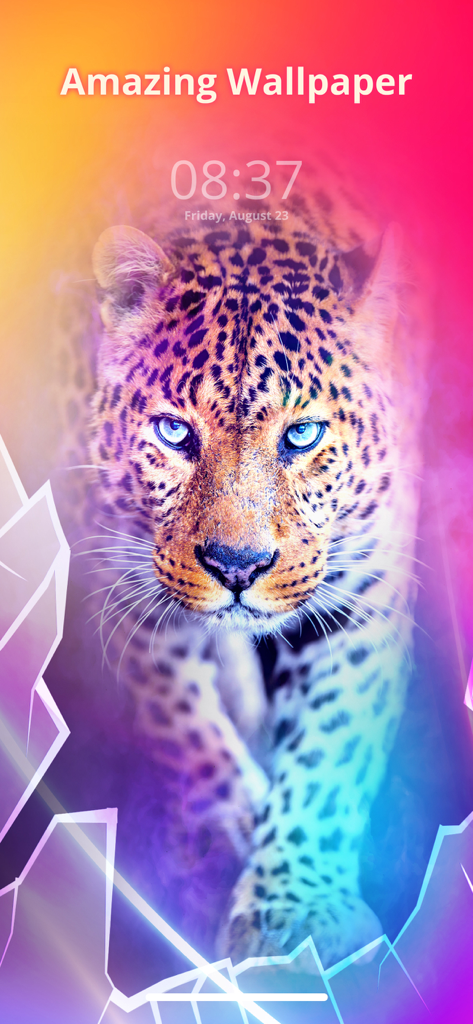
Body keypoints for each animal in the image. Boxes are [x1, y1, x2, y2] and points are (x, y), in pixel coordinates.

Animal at [54, 169, 426, 972]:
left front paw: (299, 906)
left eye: (302, 435)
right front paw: (221, 826)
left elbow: (330, 749)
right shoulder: (113, 570)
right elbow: (174, 714)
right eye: (174, 433)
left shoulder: (365, 599)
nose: (236, 565)